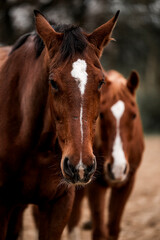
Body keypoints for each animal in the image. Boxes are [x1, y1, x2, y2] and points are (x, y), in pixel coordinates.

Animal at [68, 69, 144, 240]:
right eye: (101, 115)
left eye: (134, 115)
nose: (117, 168)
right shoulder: (96, 185)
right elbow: (99, 231)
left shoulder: (127, 183)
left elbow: (113, 228)